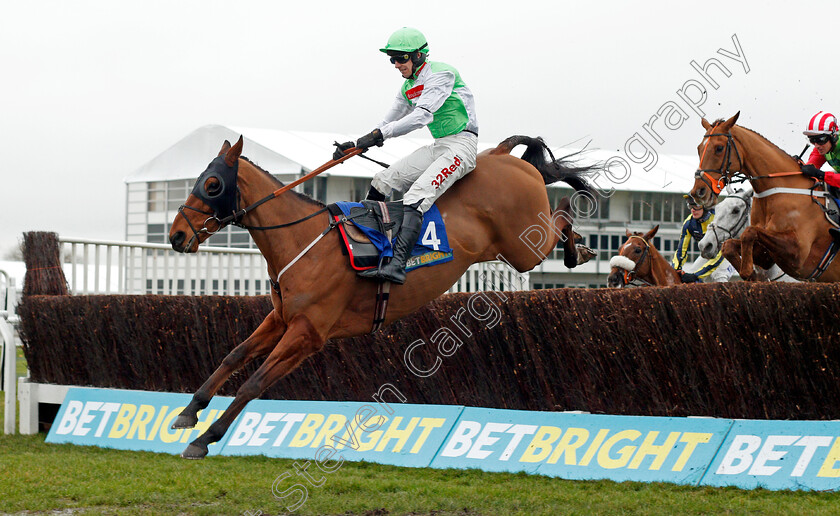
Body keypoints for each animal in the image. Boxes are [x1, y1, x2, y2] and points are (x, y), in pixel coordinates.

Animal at [166, 134, 596, 460]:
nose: (176, 236)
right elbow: (233, 355)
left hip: (525, 247)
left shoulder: (307, 333)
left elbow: (253, 383)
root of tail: (501, 154)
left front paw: (205, 439)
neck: (304, 240)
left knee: (560, 214)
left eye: (212, 184)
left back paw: (579, 249)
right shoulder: (281, 318)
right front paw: (188, 411)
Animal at [688, 112, 840, 282]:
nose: (698, 192)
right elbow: (729, 245)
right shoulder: (768, 256)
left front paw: (747, 270)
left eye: (719, 148)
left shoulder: (797, 254)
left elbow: (749, 232)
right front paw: (750, 273)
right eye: (699, 148)